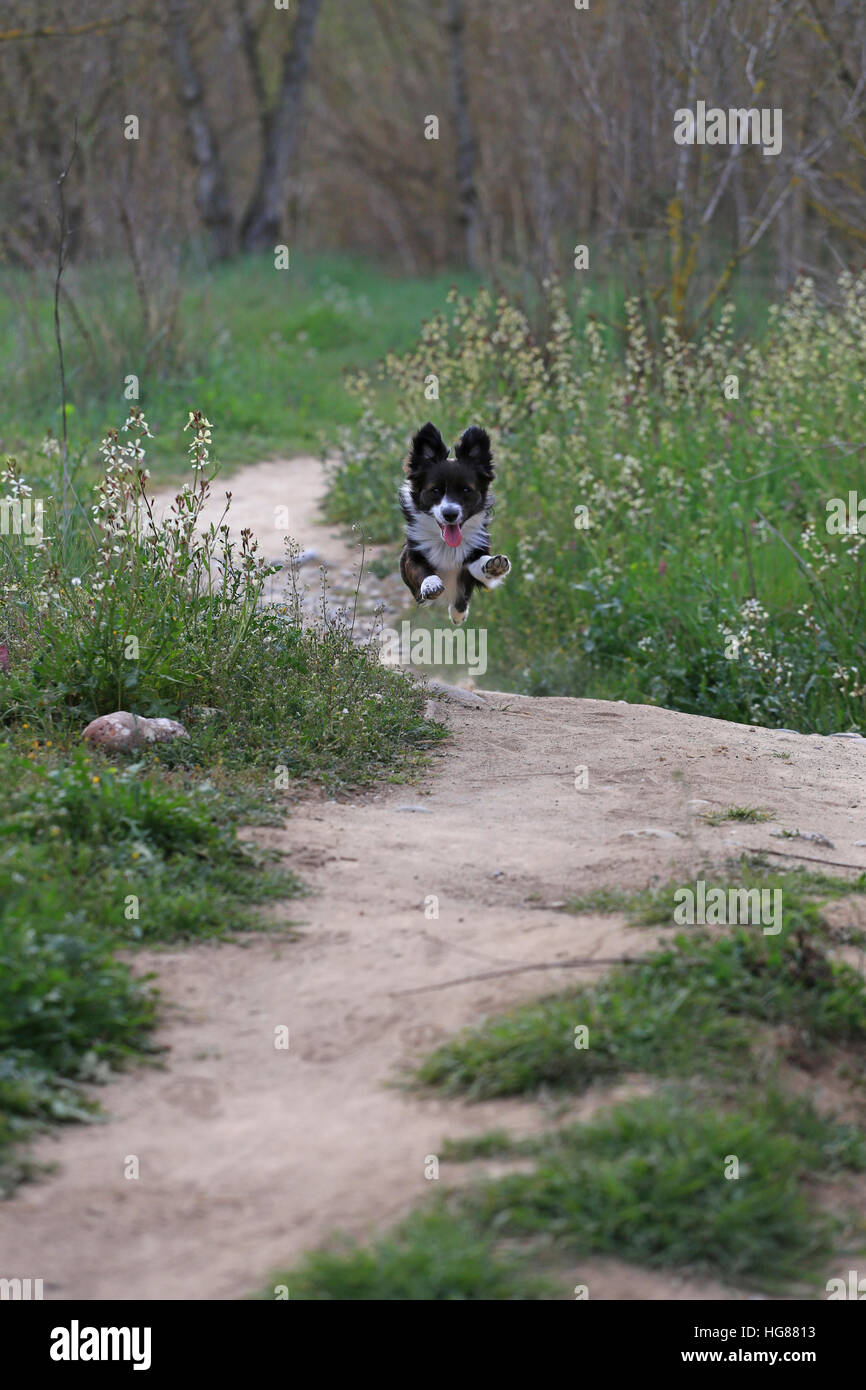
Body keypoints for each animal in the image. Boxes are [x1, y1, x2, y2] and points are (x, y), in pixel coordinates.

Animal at [400, 417, 514, 625]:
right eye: (435, 490)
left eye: (466, 490)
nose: (450, 514)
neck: (446, 545)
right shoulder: (410, 555)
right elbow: (419, 569)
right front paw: (431, 583)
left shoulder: (472, 561)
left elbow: (479, 565)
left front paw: (494, 565)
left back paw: (458, 614)